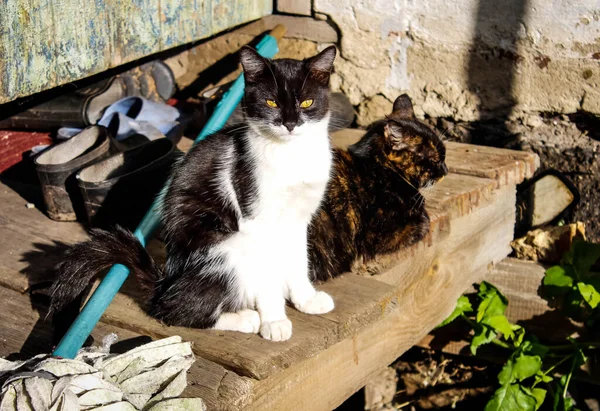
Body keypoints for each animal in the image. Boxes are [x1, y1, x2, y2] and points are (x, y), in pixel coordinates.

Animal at [49, 45, 340, 342]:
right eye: (271, 103)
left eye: (307, 102)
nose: (290, 124)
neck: (290, 154)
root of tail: (165, 283)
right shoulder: (256, 218)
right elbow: (267, 273)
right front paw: (275, 320)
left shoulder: (299, 218)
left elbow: (298, 258)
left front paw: (306, 299)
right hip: (227, 249)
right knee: (172, 310)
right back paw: (244, 318)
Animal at [310, 93, 446, 282]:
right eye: (434, 160)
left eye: (444, 155)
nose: (446, 170)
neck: (379, 168)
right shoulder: (381, 237)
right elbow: (424, 222)